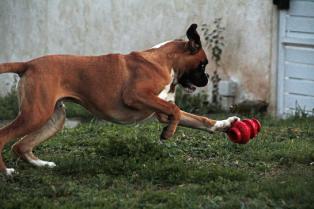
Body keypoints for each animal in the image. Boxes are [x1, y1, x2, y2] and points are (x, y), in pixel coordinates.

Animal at [0, 23, 238, 176]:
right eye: (203, 64)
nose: (206, 79)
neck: (164, 61)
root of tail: (28, 64)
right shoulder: (136, 95)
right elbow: (177, 112)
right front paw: (168, 133)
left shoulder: (162, 108)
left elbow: (198, 119)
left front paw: (225, 124)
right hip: (35, 114)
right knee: (5, 137)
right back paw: (6, 172)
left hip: (54, 118)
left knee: (20, 146)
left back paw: (43, 165)